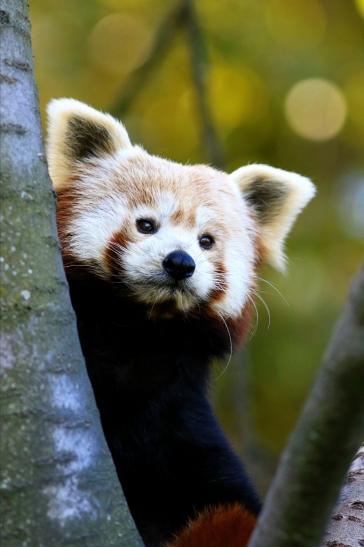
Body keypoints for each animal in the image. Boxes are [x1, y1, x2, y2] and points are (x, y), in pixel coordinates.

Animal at [44, 99, 312, 547]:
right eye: (146, 224)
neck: (139, 330)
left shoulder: (176, 413)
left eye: (206, 241)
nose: (180, 262)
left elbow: (227, 503)